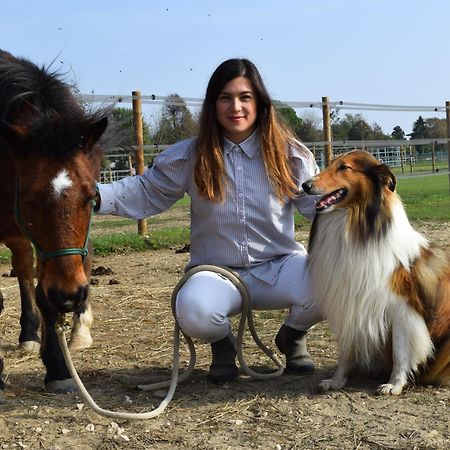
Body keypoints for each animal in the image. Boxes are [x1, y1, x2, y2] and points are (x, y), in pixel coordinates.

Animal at [302, 150, 450, 394]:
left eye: (344, 167)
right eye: (330, 163)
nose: (305, 185)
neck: (355, 225)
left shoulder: (402, 309)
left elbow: (400, 352)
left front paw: (394, 384)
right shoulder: (350, 304)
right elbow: (346, 351)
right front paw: (337, 380)